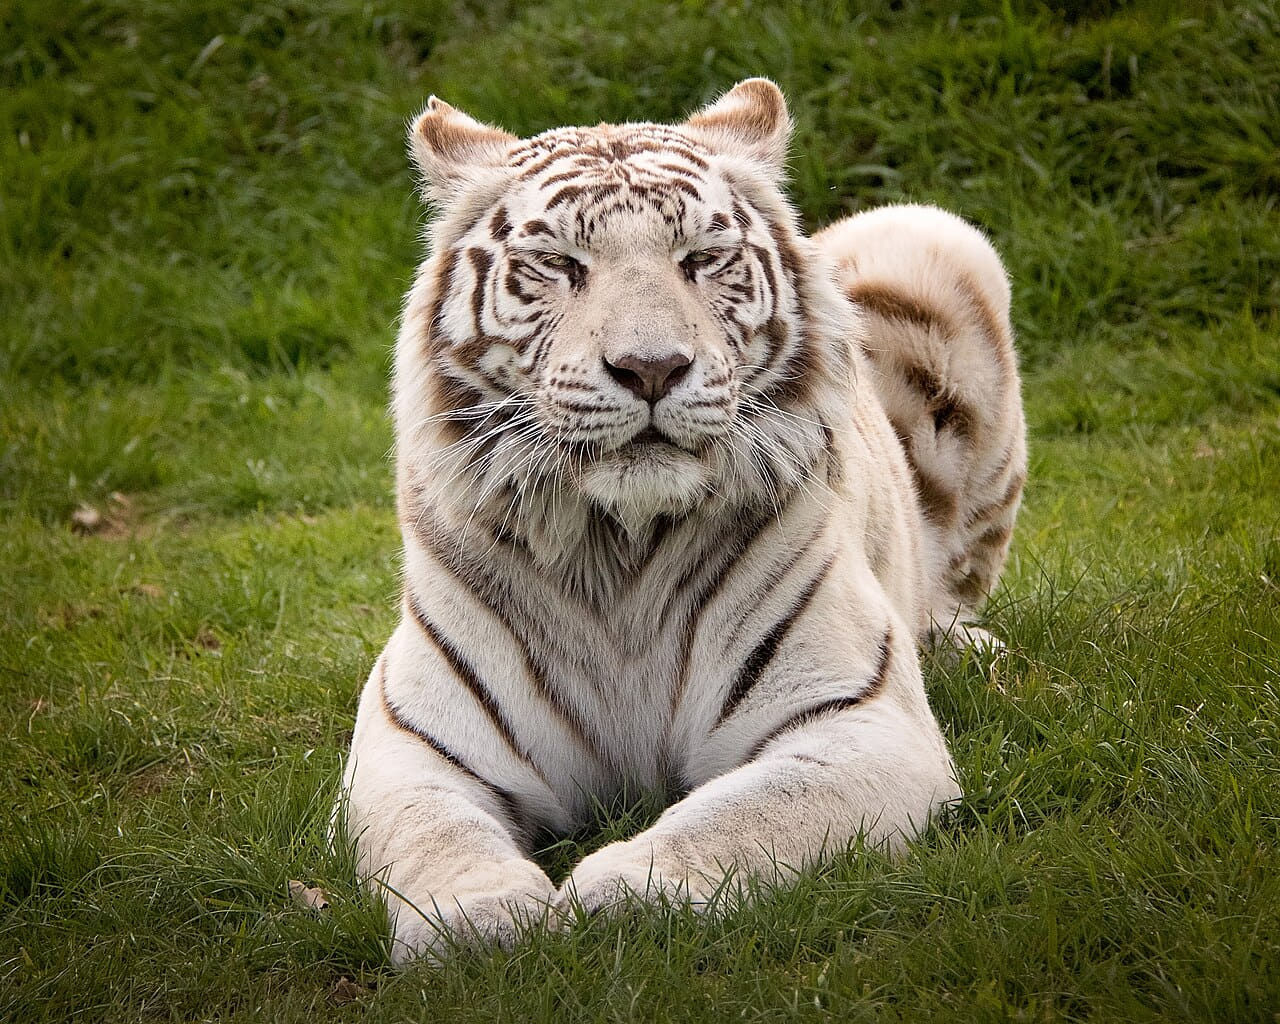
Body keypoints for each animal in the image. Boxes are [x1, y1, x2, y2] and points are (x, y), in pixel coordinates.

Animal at [340, 78, 1026, 964]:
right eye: (561, 265)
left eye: (700, 259)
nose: (652, 367)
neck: (618, 551)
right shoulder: (413, 741)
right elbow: (432, 834)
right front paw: (478, 916)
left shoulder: (858, 723)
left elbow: (742, 817)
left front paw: (623, 889)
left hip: (929, 233)